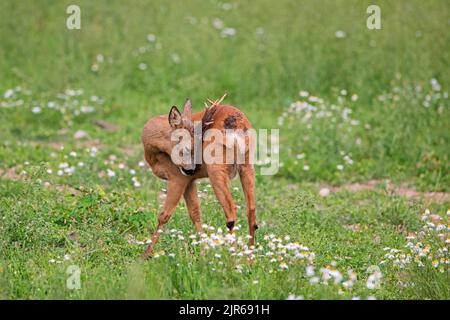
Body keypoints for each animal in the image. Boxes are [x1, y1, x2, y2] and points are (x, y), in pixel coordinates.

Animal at [142, 94, 258, 258]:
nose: (192, 168)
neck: (152, 152)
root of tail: (238, 127)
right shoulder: (190, 181)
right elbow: (196, 214)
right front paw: (203, 253)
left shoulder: (178, 177)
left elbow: (164, 215)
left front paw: (145, 254)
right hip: (247, 165)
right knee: (251, 211)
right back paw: (250, 258)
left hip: (215, 169)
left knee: (230, 209)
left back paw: (231, 258)